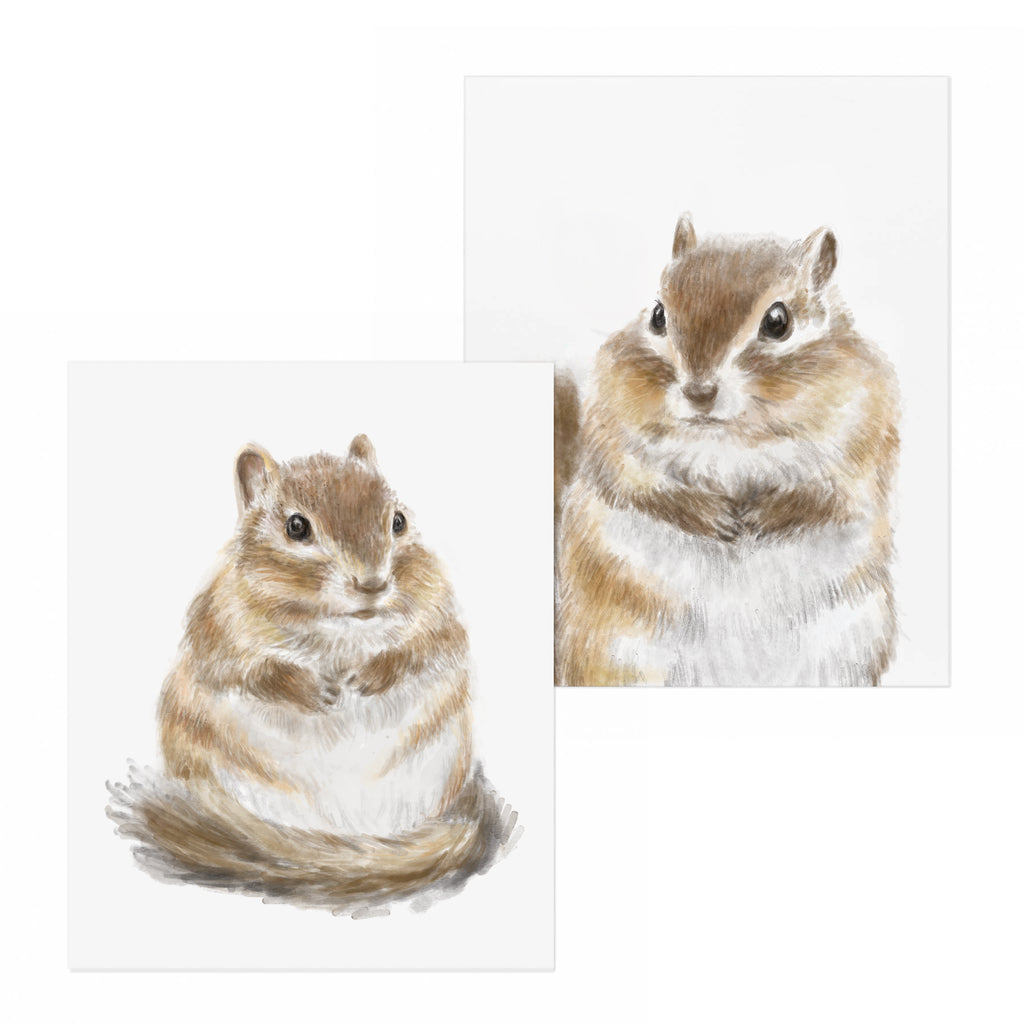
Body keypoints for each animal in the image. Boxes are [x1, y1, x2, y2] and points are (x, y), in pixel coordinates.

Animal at [108, 436, 515, 912]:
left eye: (398, 521)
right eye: (297, 527)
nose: (373, 584)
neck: (339, 626)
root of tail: (346, 835)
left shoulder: (439, 617)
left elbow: (423, 650)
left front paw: (369, 676)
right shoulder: (219, 631)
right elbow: (253, 672)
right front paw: (312, 690)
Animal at [556, 214, 900, 687]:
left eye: (778, 321)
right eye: (658, 315)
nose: (699, 392)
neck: (731, 438)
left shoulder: (864, 439)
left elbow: (831, 498)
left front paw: (766, 514)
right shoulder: (610, 432)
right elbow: (637, 487)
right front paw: (709, 515)